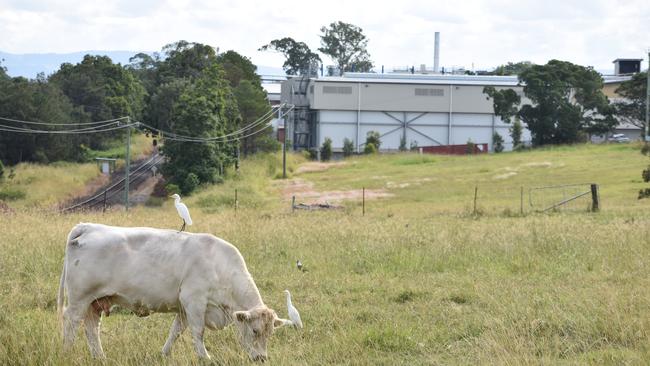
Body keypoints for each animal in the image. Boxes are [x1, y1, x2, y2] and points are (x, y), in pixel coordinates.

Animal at [57, 223, 290, 360]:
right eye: (255, 331)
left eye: (270, 333)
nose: (262, 358)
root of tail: (88, 226)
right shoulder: (194, 300)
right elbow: (198, 332)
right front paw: (205, 358)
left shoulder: (184, 308)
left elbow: (176, 331)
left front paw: (164, 353)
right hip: (79, 298)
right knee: (71, 322)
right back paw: (67, 352)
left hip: (95, 301)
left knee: (91, 328)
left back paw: (100, 357)